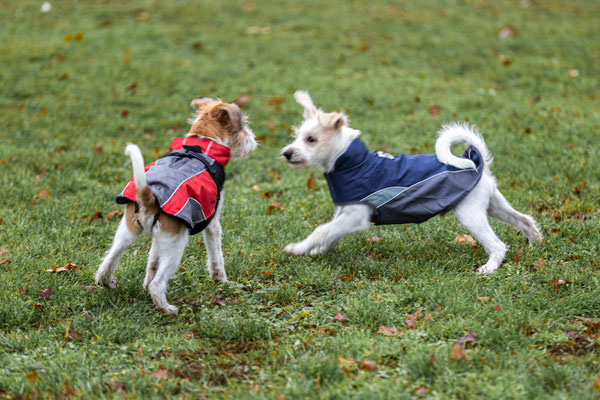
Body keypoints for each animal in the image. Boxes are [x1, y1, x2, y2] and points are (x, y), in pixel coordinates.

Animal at [96, 97, 258, 312]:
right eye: (242, 125)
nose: (253, 139)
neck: (201, 145)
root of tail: (149, 195)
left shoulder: (159, 238)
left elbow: (152, 262)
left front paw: (144, 284)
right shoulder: (213, 222)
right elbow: (216, 256)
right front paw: (221, 281)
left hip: (127, 232)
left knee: (108, 261)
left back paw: (106, 281)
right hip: (176, 244)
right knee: (158, 283)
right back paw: (167, 308)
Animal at [282, 90, 544, 274]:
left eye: (311, 139)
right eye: (297, 136)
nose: (287, 153)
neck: (352, 162)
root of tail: (478, 163)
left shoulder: (355, 216)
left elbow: (322, 230)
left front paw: (297, 248)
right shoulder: (345, 214)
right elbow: (330, 233)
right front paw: (316, 251)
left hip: (470, 214)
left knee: (498, 245)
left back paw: (488, 268)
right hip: (493, 205)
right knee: (524, 219)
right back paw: (535, 244)